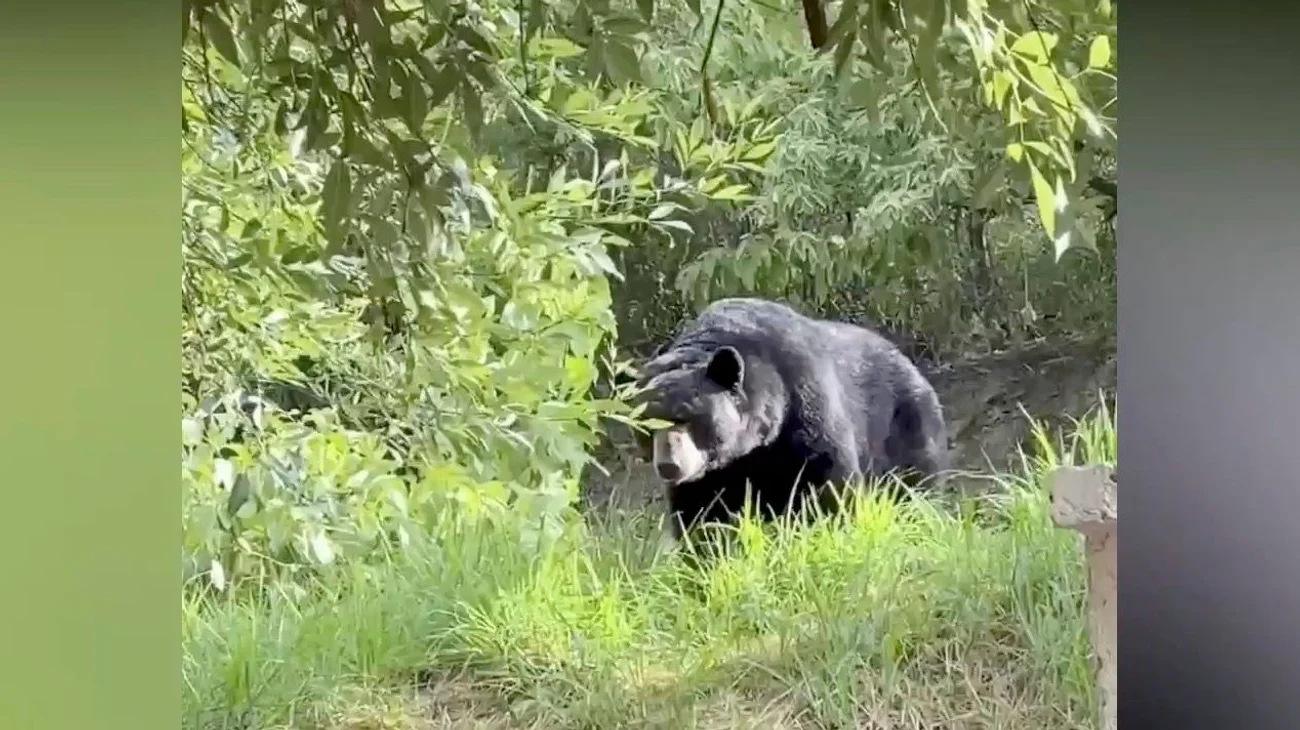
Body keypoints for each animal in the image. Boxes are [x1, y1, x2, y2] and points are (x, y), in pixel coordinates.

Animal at [634, 297, 949, 545]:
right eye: (647, 426)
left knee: (914, 485)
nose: (669, 465)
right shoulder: (709, 474)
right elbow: (700, 515)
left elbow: (829, 482)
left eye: (687, 418)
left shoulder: (805, 407)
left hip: (906, 425)